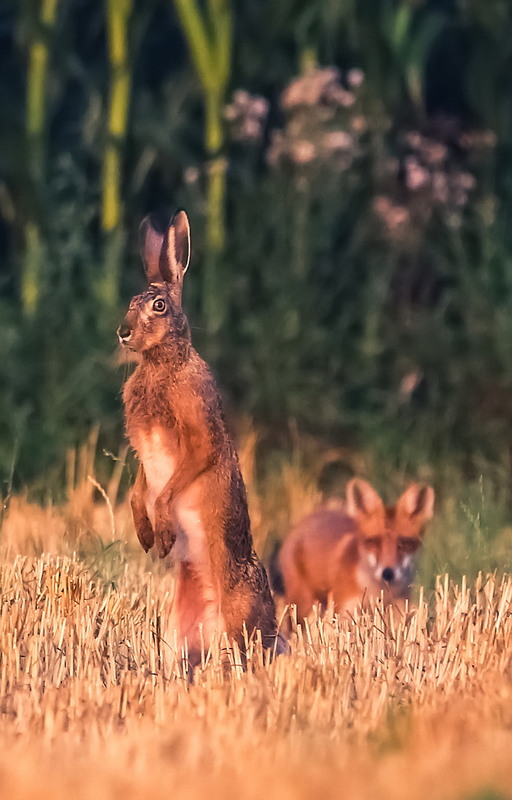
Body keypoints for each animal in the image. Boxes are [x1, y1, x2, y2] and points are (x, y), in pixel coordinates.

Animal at [278, 478, 434, 616]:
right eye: (373, 541)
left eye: (405, 543)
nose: (388, 573)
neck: (378, 592)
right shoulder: (345, 610)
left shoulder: (399, 609)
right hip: (301, 604)